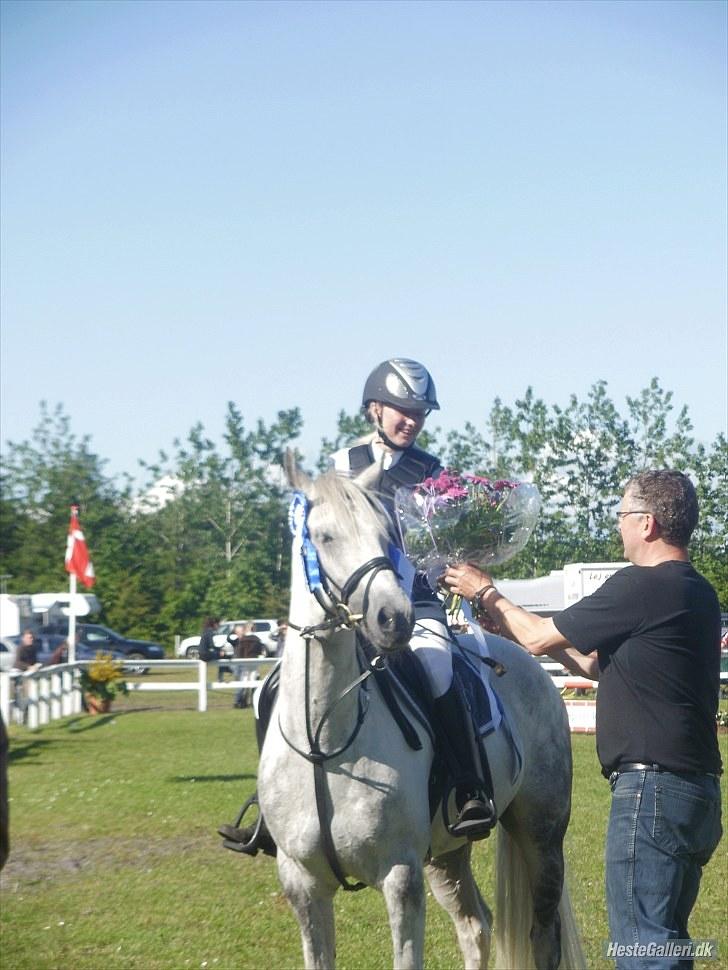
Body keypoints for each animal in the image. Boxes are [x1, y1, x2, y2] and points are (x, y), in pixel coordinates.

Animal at [258, 462, 584, 968]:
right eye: (325, 536)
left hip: (542, 833)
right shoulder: (303, 885)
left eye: (386, 533)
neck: (324, 741)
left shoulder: (400, 876)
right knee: (476, 925)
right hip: (445, 853)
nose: (393, 618)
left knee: (541, 934)